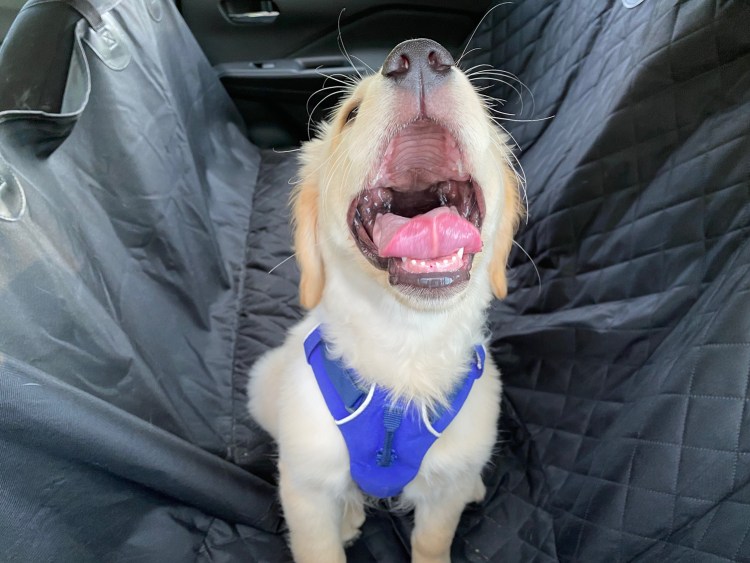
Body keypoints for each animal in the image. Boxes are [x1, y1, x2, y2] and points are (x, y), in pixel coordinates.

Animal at [248, 38, 522, 563]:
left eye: (482, 107)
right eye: (350, 115)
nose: (419, 56)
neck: (406, 347)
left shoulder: (443, 492)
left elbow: (433, 542)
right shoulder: (306, 488)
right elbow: (319, 547)